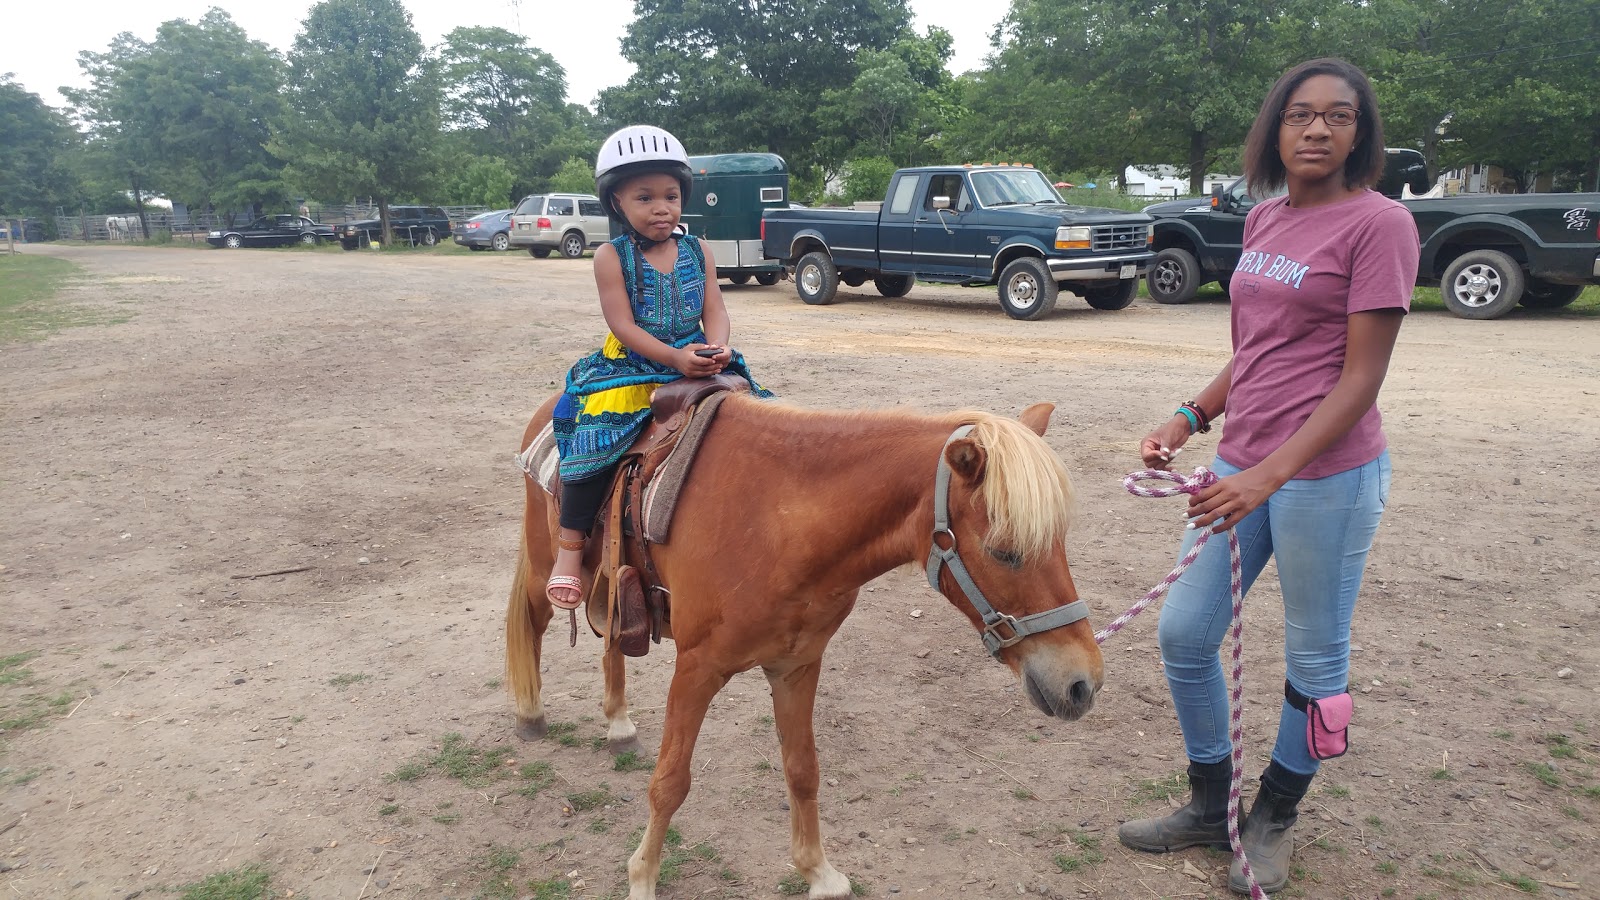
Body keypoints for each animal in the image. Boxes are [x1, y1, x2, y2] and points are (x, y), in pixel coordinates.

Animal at [505, 395, 1107, 896]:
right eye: (1004, 550)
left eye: (1059, 541)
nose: (1083, 683)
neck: (779, 522)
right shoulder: (697, 669)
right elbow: (670, 782)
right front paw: (642, 881)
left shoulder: (797, 665)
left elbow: (802, 769)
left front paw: (818, 872)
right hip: (548, 570)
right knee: (532, 620)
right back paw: (531, 714)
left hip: (611, 582)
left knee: (610, 642)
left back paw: (618, 722)